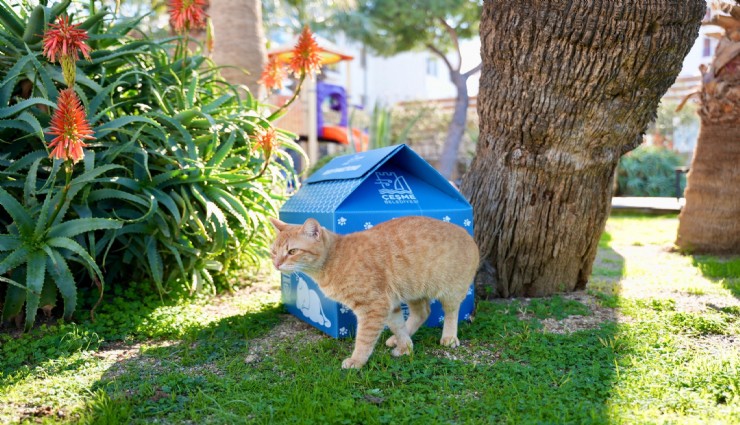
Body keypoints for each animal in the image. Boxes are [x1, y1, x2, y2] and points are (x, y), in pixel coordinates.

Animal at [272, 215, 480, 368]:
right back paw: (396, 340)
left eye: (292, 252)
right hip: (413, 291)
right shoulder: (390, 305)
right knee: (422, 312)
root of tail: (468, 234)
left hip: (450, 291)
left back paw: (449, 337)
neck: (335, 258)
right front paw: (405, 347)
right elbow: (399, 326)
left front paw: (357, 361)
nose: (276, 264)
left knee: (451, 313)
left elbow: (364, 339)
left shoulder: (373, 307)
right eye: (273, 252)